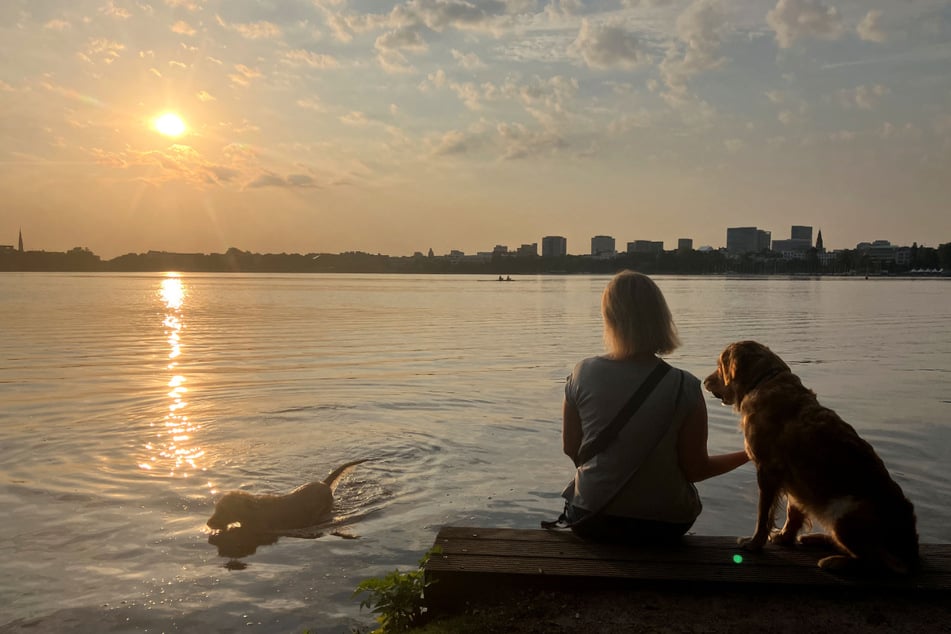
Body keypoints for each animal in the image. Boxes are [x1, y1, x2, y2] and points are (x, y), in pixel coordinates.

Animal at [704, 340, 920, 572]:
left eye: (719, 366)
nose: (705, 382)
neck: (763, 382)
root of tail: (911, 552)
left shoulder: (767, 470)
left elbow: (763, 514)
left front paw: (754, 543)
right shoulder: (794, 480)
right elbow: (793, 512)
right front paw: (785, 537)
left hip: (843, 511)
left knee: (881, 562)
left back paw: (833, 561)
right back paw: (816, 539)